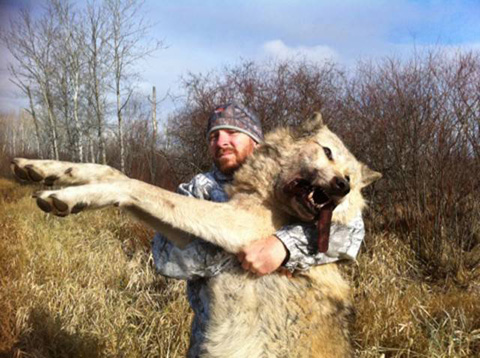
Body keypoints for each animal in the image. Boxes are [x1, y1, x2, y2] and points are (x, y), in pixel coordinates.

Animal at [11, 113, 382, 356]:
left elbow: (135, 185)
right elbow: (113, 171)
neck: (270, 199)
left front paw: (68, 196)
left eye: (350, 179)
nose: (342, 185)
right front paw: (43, 169)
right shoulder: (187, 238)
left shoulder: (237, 225)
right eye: (328, 152)